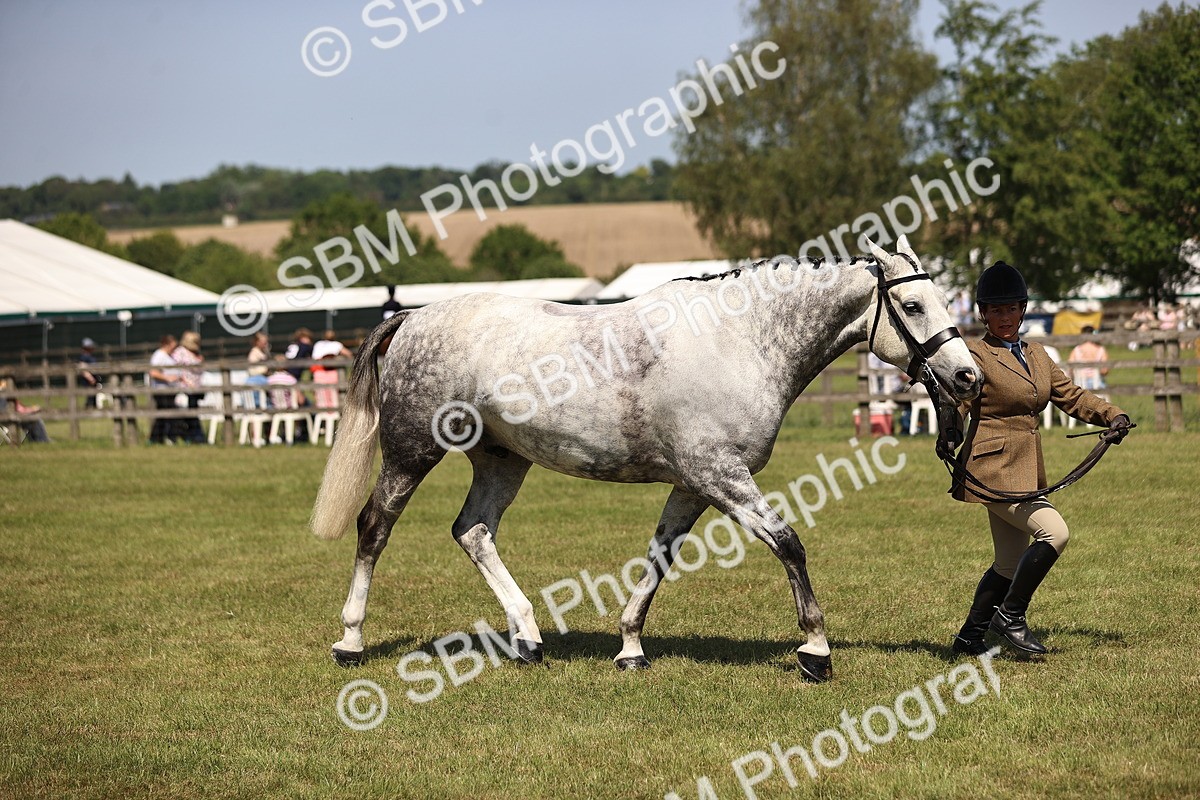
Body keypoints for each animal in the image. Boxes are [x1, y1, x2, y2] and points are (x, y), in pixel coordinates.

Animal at [310, 236, 982, 682]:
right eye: (914, 307)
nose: (967, 376)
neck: (738, 341)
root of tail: (411, 317)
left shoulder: (693, 484)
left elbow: (660, 556)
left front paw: (630, 646)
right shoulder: (721, 476)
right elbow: (789, 543)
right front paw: (815, 650)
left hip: (502, 461)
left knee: (472, 531)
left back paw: (528, 637)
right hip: (410, 453)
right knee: (374, 529)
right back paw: (351, 640)